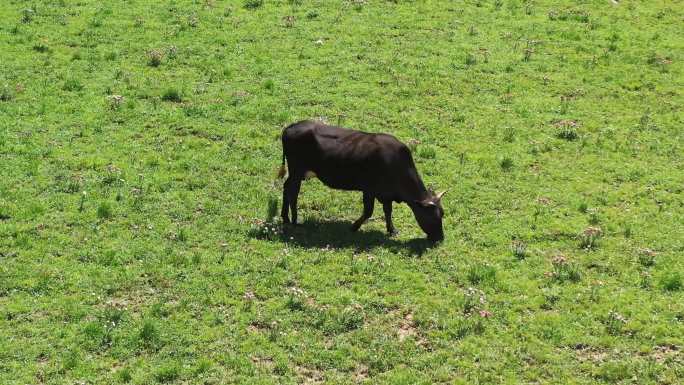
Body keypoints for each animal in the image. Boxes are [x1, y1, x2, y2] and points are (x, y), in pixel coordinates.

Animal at [278, 119, 448, 243]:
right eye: (433, 216)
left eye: (442, 213)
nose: (440, 238)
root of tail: (291, 127)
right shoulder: (369, 190)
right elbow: (368, 211)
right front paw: (354, 227)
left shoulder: (386, 193)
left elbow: (388, 211)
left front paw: (392, 230)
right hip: (297, 170)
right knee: (292, 190)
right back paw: (293, 220)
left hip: (297, 172)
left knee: (288, 188)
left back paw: (287, 218)